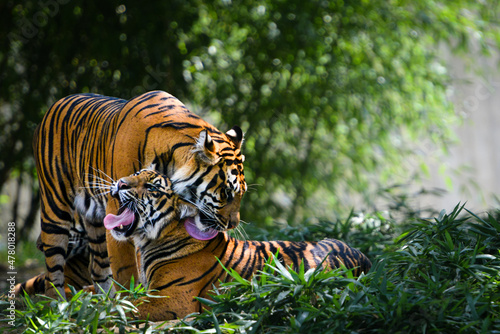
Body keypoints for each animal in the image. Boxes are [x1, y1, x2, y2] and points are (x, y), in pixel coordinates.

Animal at [31, 90, 246, 298]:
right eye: (227, 192)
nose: (233, 224)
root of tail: (57, 103)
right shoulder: (117, 212)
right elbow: (126, 273)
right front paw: (129, 301)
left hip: (95, 225)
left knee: (98, 270)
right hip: (55, 211)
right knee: (53, 275)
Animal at [104, 170, 372, 320]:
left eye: (151, 187)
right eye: (136, 174)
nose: (120, 183)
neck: (148, 242)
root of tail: (363, 256)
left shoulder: (171, 299)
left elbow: (121, 309)